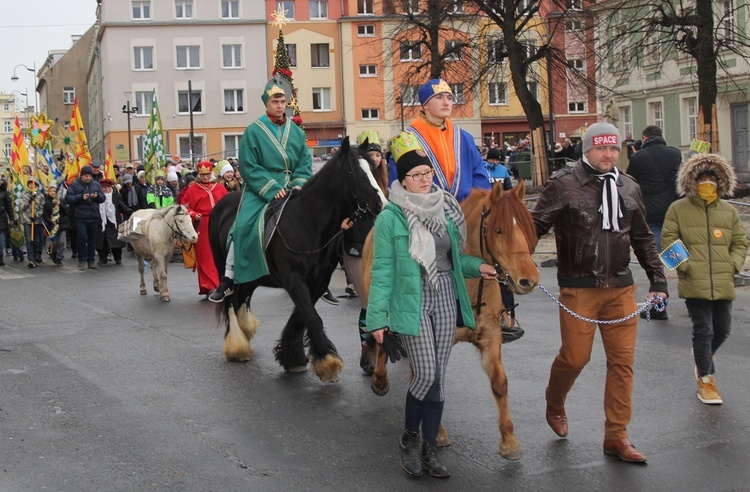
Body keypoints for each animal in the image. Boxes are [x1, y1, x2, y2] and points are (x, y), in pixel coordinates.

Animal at [212, 138, 388, 384]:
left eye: (372, 168)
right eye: (352, 172)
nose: (380, 203)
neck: (308, 223)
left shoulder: (317, 283)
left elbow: (301, 317)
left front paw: (292, 356)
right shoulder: (294, 280)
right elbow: (312, 319)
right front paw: (328, 362)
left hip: (252, 277)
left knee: (241, 301)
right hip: (227, 269)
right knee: (230, 300)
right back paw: (237, 346)